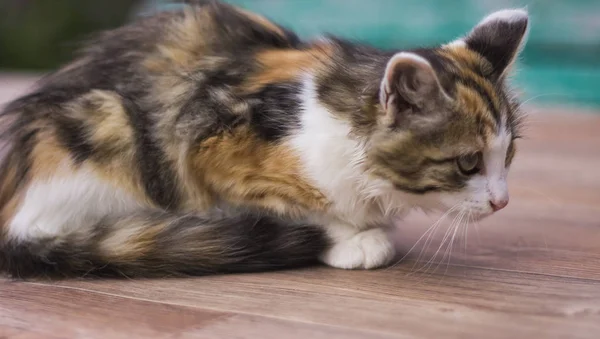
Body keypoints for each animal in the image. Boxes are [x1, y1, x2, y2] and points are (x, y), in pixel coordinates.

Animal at [0, 0, 524, 278]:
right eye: (467, 163)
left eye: (508, 156)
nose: (502, 202)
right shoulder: (207, 150)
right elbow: (305, 207)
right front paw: (353, 239)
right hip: (107, 125)